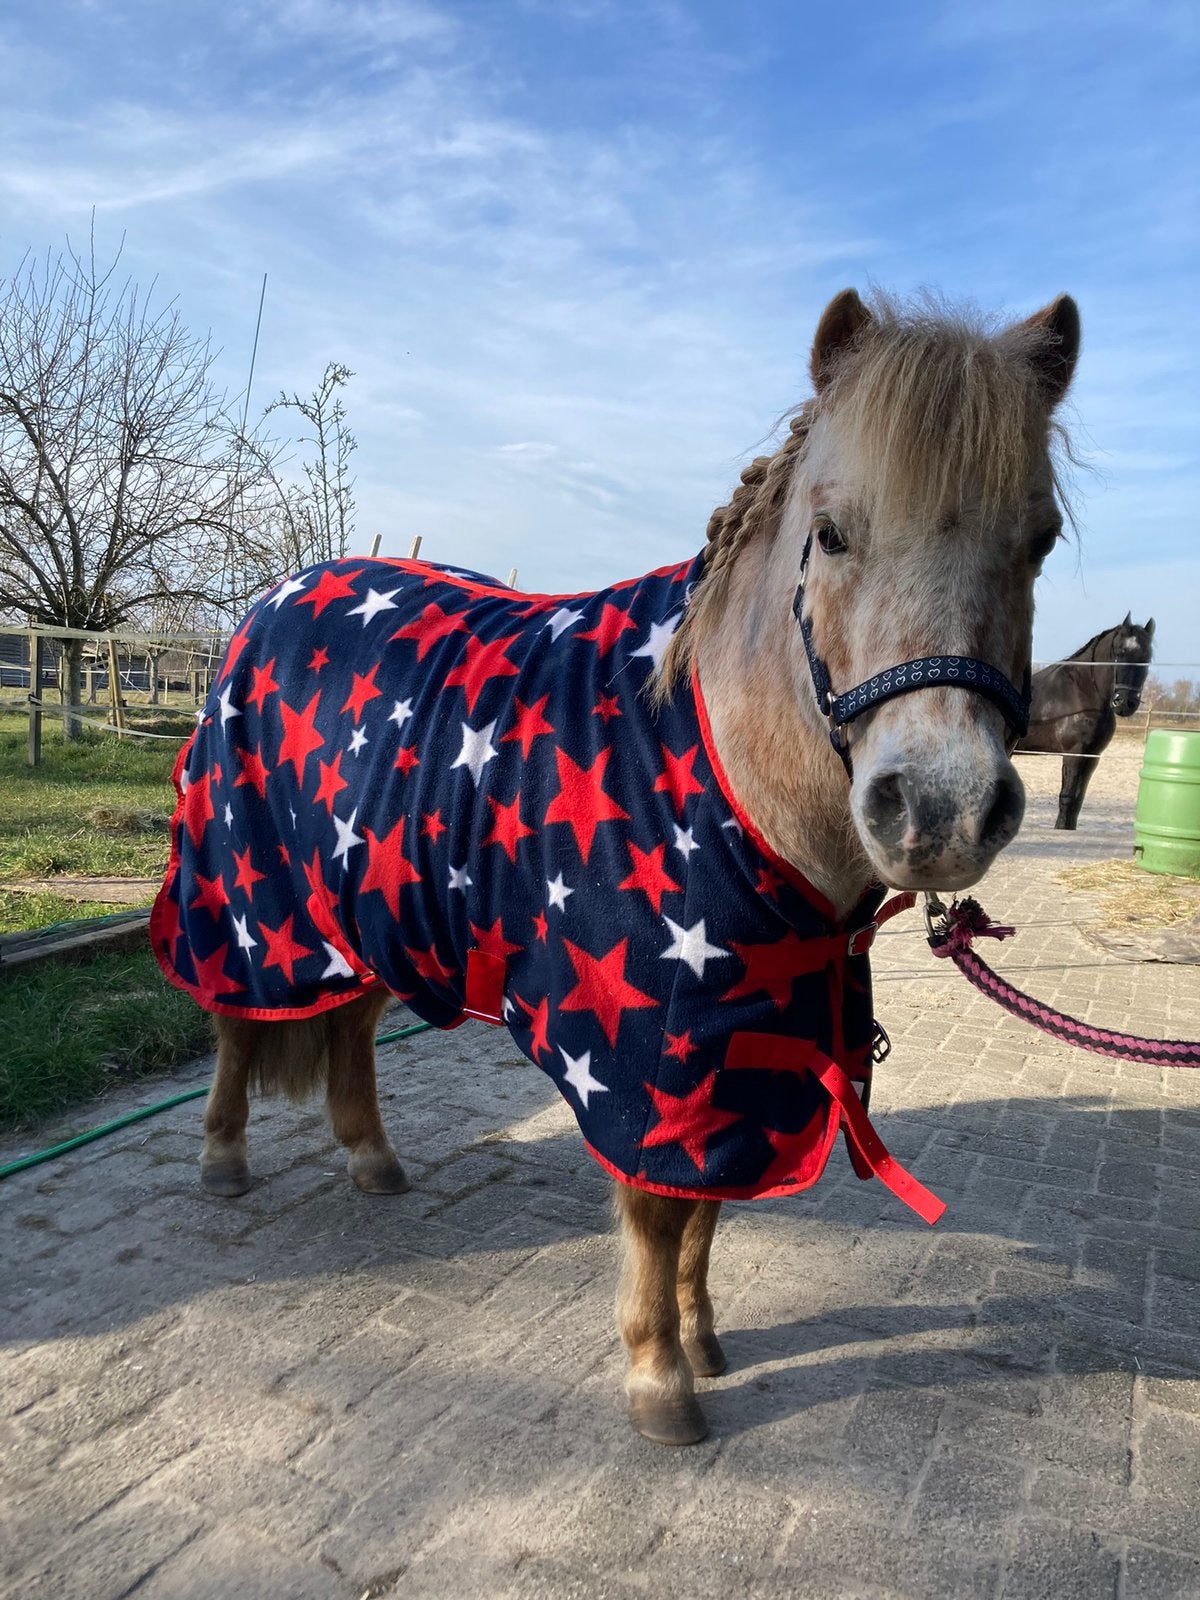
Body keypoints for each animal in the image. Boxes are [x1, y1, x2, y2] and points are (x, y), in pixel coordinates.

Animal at [153, 287, 1081, 1446]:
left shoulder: (744, 1046)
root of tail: (279, 597)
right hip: (249, 901)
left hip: (367, 906)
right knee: (240, 1022)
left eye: (1040, 540)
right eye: (831, 532)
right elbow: (653, 1209)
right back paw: (222, 1158)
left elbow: (704, 1212)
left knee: (351, 1033)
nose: (942, 808)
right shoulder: (647, 1052)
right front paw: (658, 1376)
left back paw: (373, 1160)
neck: (714, 764)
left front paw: (704, 1336)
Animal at [1016, 616, 1154, 829]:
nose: (1125, 702)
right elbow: (1067, 797)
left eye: (1147, 657)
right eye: (1119, 652)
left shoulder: (1092, 756)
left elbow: (1077, 801)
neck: (1082, 692)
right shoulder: (1075, 753)